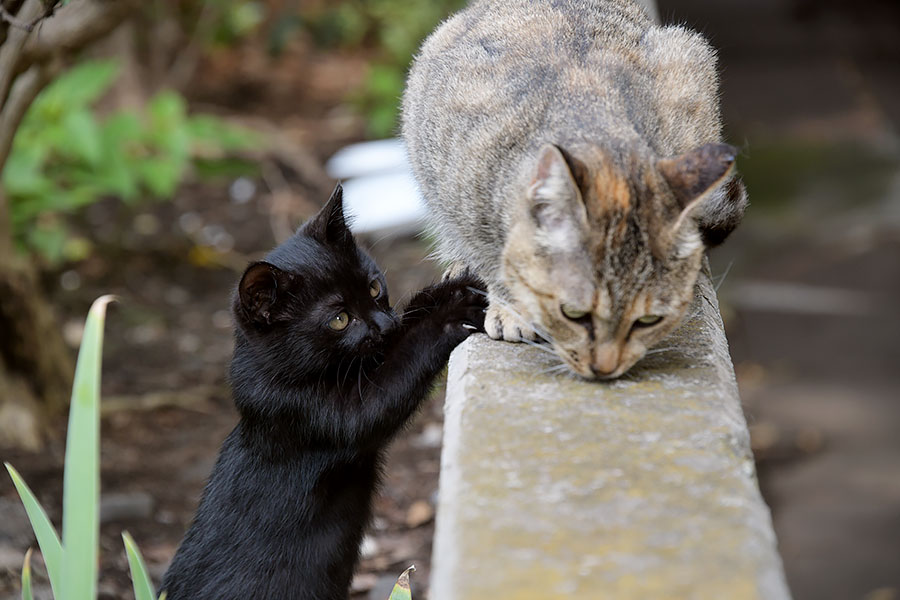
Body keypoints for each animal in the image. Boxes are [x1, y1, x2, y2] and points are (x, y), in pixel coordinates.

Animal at [162, 185, 486, 596]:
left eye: (374, 287)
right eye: (339, 319)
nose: (383, 324)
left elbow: (409, 321)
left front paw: (456, 285)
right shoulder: (307, 412)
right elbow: (396, 373)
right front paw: (453, 311)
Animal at [400, 0, 744, 378]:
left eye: (647, 320)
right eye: (576, 312)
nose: (606, 368)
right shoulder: (456, 187)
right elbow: (490, 255)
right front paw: (510, 306)